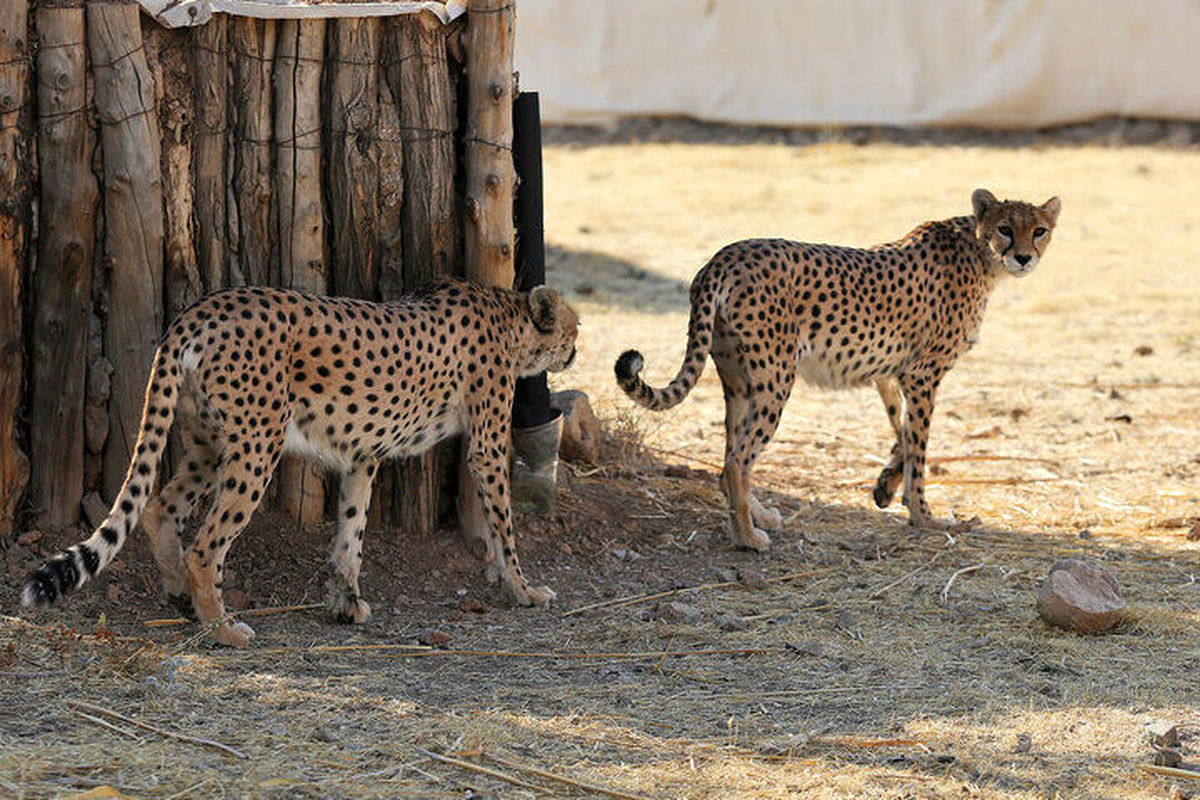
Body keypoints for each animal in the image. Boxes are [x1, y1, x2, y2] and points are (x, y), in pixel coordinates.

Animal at [21, 280, 578, 642]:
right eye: (573, 330)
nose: (576, 350)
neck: (509, 314)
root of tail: (202, 307)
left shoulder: (363, 454)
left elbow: (352, 529)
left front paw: (345, 602)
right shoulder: (487, 446)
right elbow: (504, 526)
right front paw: (525, 591)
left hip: (208, 442)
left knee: (161, 508)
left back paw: (181, 597)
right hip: (256, 446)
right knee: (205, 544)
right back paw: (223, 628)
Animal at [619, 189, 1060, 551]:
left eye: (1039, 230)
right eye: (1005, 228)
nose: (1023, 257)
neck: (979, 252)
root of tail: (724, 256)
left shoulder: (890, 373)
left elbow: (901, 433)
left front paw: (886, 488)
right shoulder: (922, 374)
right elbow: (918, 446)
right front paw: (924, 516)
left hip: (739, 379)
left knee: (729, 455)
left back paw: (759, 517)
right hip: (776, 378)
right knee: (736, 462)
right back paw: (748, 538)